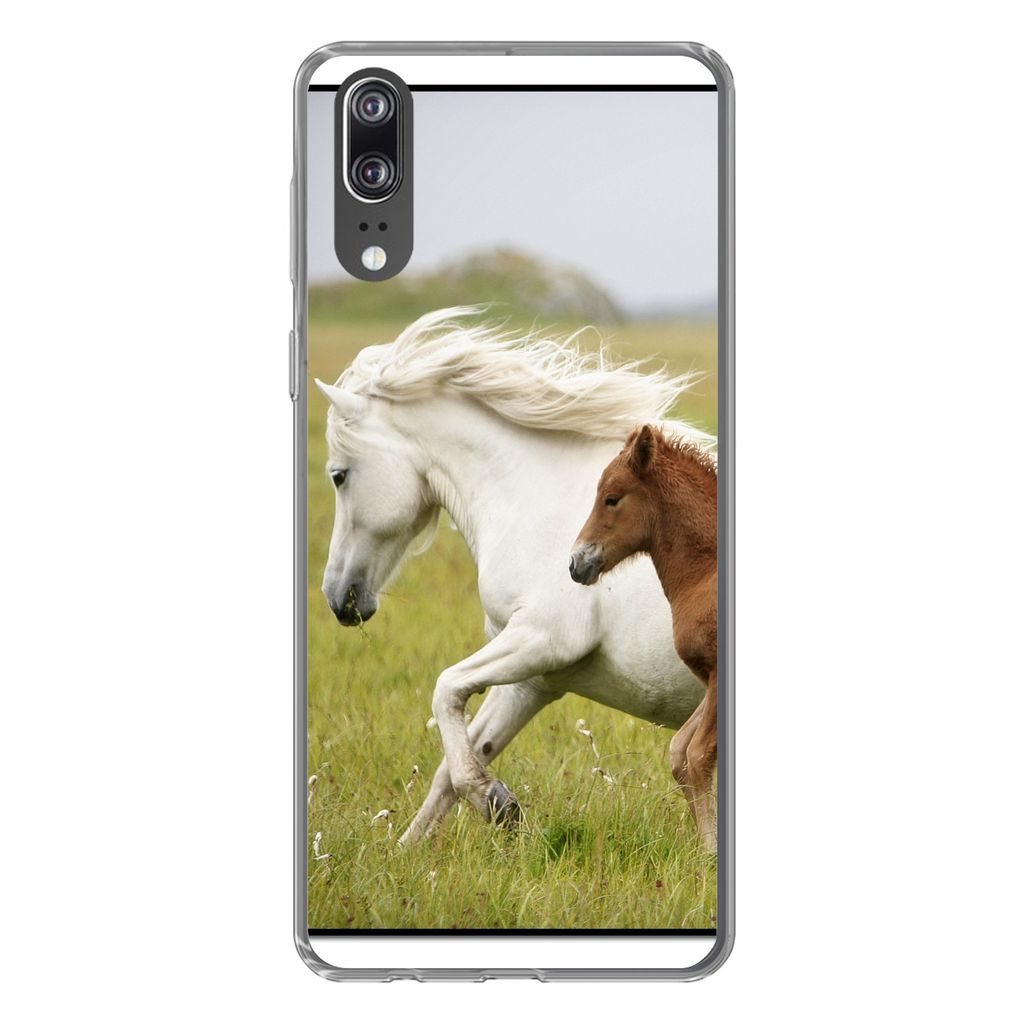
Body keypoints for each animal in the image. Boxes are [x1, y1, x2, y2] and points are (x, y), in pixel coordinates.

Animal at [569, 424, 718, 851]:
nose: (576, 563)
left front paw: (711, 850)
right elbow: (679, 752)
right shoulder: (708, 679)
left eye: (612, 499)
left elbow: (698, 756)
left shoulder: (718, 676)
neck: (705, 571)